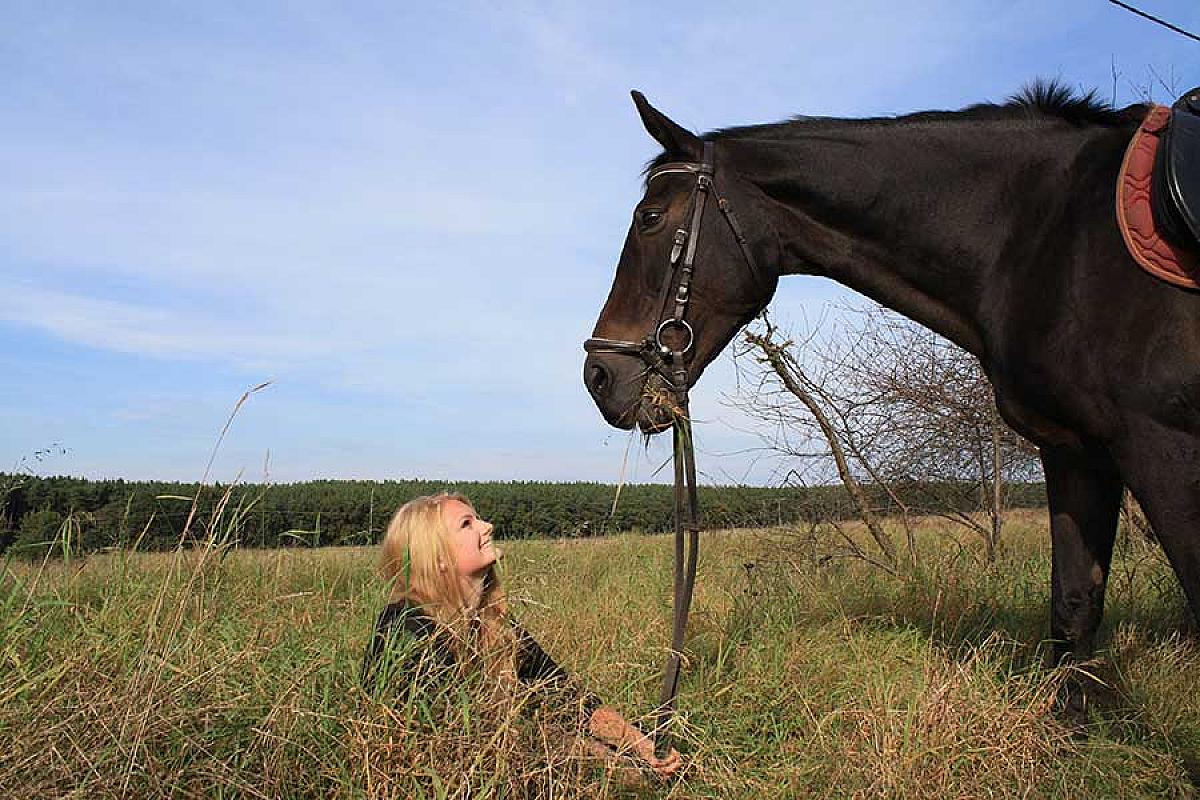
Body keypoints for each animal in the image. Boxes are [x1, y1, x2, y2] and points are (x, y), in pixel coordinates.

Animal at [582, 82, 1200, 720]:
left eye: (650, 218)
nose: (599, 375)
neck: (1048, 230)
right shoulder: (1075, 451)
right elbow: (1074, 607)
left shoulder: (1160, 442)